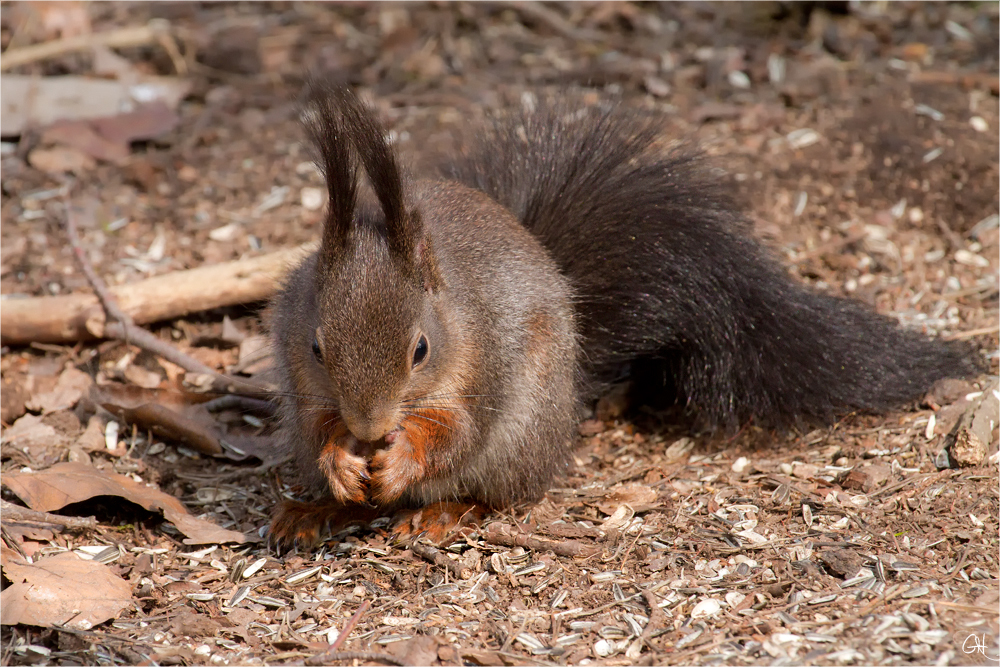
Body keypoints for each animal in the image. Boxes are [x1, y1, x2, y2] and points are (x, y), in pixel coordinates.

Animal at [266, 86, 976, 552]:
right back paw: (317, 511)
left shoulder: (487, 362)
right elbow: (318, 420)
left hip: (525, 434)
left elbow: (457, 431)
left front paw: (403, 456)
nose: (370, 427)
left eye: (420, 349)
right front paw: (340, 459)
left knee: (500, 494)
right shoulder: (304, 378)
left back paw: (441, 511)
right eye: (317, 348)